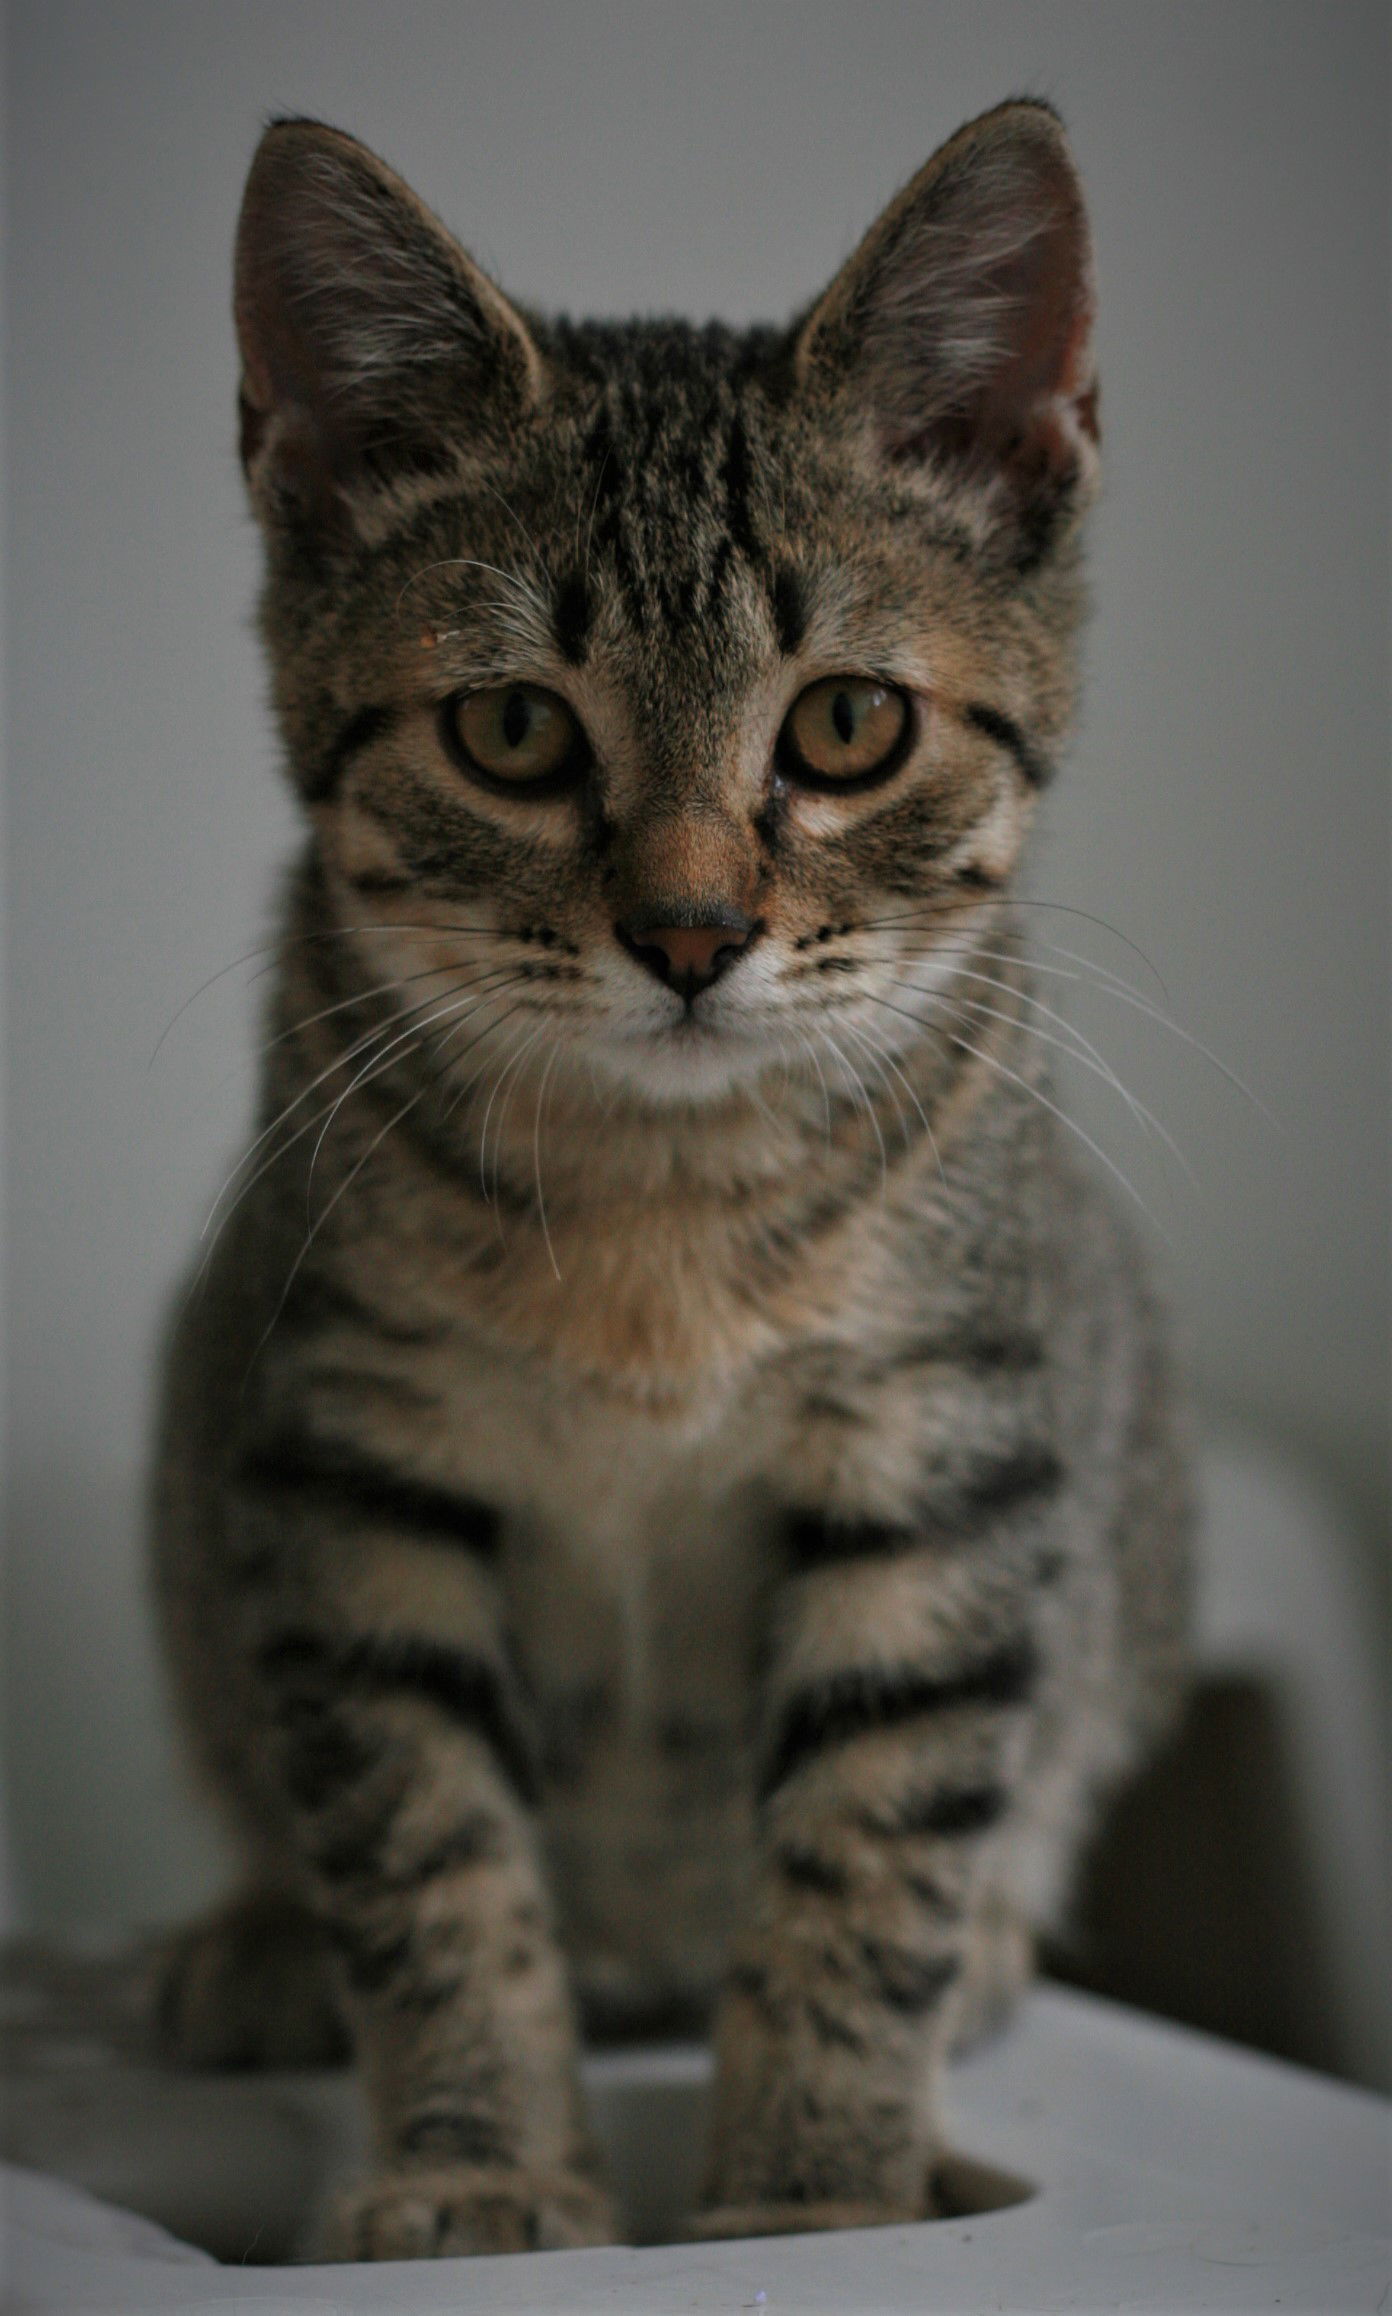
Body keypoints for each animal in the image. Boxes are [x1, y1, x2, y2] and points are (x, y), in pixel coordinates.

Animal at [155, 99, 1195, 2251]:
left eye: (851, 721)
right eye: (511, 728)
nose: (694, 933)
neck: (663, 1208)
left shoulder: (944, 1461)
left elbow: (867, 1864)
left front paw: (816, 2196)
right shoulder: (343, 1462)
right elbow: (430, 1853)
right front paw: (477, 2162)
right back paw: (264, 1949)